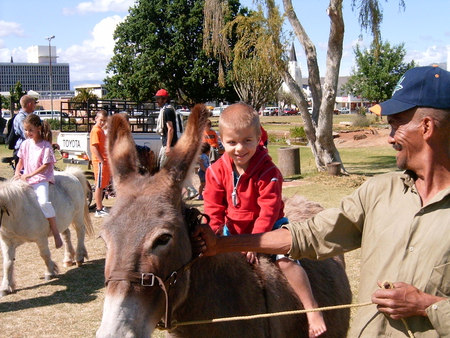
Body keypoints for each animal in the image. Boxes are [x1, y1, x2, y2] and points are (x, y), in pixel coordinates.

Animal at [0, 166, 93, 296]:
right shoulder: (7, 243)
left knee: (80, 232)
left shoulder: (41, 238)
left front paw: (50, 272)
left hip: (78, 215)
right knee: (66, 235)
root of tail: (70, 174)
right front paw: (5, 287)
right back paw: (68, 259)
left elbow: (44, 254)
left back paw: (79, 257)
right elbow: (7, 263)